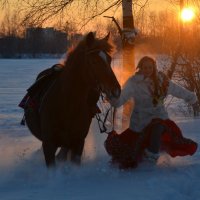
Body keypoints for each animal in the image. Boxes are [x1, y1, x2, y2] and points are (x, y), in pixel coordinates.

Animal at [29, 32, 120, 167]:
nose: (116, 90)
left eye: (109, 59)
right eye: (94, 61)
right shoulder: (48, 145)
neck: (66, 104)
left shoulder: (78, 143)